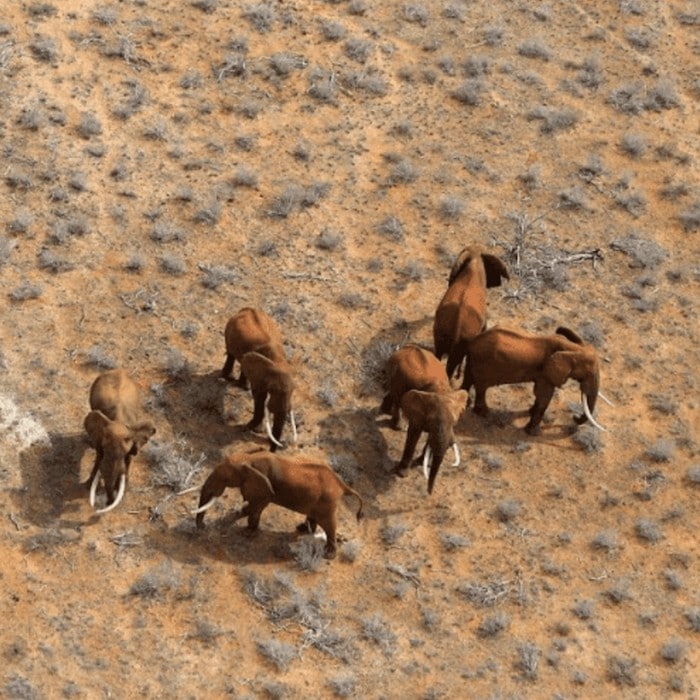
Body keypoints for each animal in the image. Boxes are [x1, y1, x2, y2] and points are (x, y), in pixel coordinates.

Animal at [83, 372, 156, 516]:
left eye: (125, 452)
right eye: (105, 448)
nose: (106, 503)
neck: (119, 420)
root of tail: (119, 370)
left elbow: (129, 459)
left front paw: (123, 490)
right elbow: (99, 455)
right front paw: (89, 484)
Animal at [189, 452, 364, 560]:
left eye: (225, 478)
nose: (203, 526)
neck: (248, 458)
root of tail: (342, 484)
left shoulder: (265, 487)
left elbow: (255, 506)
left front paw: (246, 533)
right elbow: (254, 507)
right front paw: (244, 527)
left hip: (327, 502)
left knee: (328, 523)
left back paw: (328, 554)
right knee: (314, 517)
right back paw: (302, 529)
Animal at [462, 326, 608, 434]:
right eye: (589, 373)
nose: (574, 417)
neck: (573, 348)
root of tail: (473, 341)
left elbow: (540, 394)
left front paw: (530, 413)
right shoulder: (546, 373)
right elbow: (544, 396)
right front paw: (532, 433)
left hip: (474, 360)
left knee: (469, 380)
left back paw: (466, 405)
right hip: (482, 364)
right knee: (481, 387)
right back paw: (484, 414)